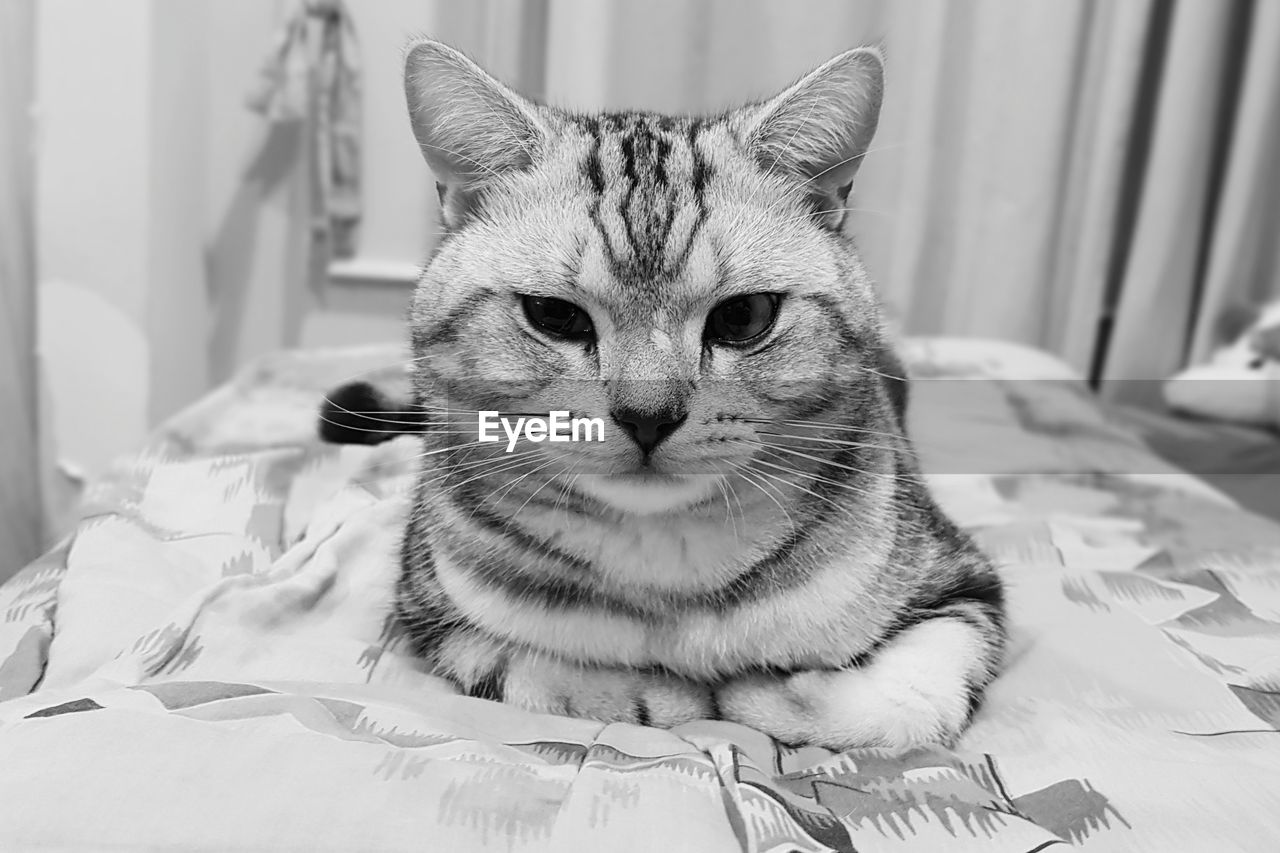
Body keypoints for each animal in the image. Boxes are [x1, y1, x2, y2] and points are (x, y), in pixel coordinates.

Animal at [317, 38, 998, 753]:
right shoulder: (430, 610)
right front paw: (660, 692)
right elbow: (533, 671)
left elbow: (908, 699)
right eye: (554, 316)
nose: (648, 417)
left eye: (745, 317)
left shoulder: (960, 582)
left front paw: (756, 687)